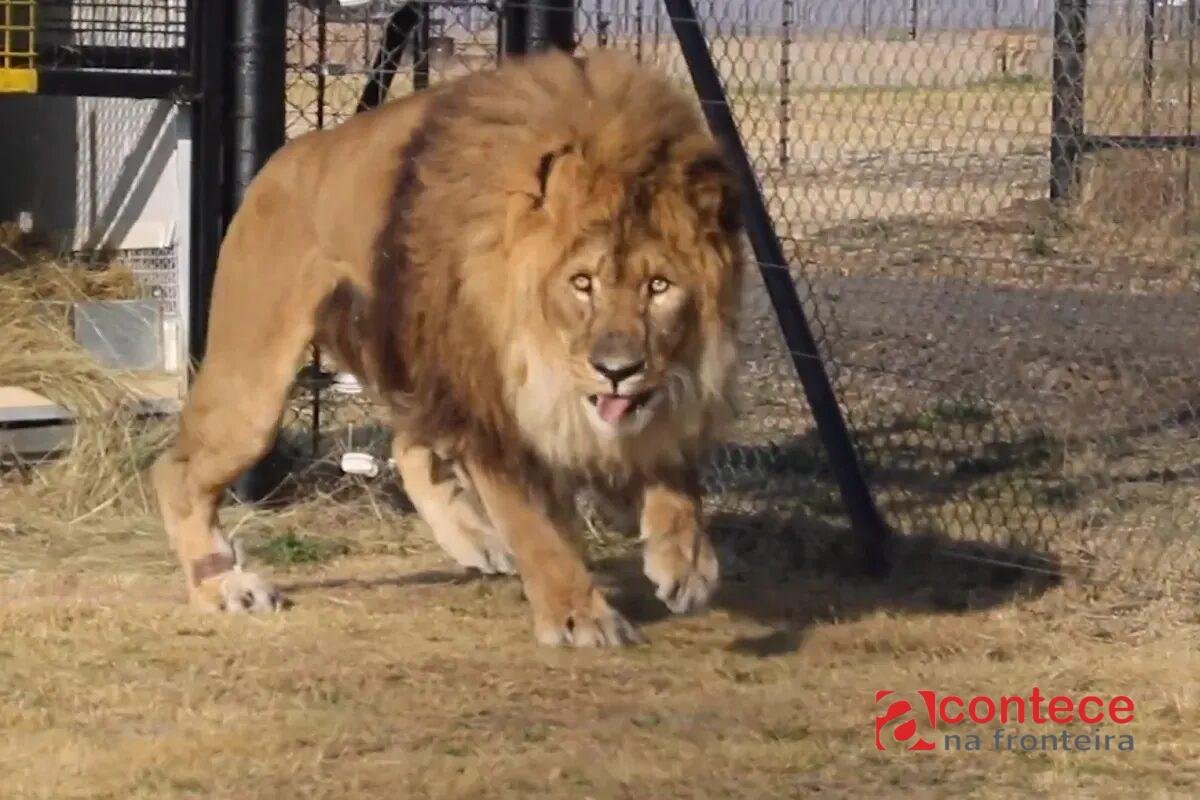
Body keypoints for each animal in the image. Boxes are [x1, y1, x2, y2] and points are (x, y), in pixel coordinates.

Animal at [149, 49, 745, 647]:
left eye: (659, 286)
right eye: (583, 283)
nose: (617, 370)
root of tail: (289, 155)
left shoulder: (668, 387)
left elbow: (675, 475)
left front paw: (687, 561)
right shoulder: (487, 404)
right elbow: (537, 531)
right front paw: (580, 616)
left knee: (408, 443)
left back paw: (476, 540)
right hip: (256, 393)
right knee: (176, 471)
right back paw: (222, 584)